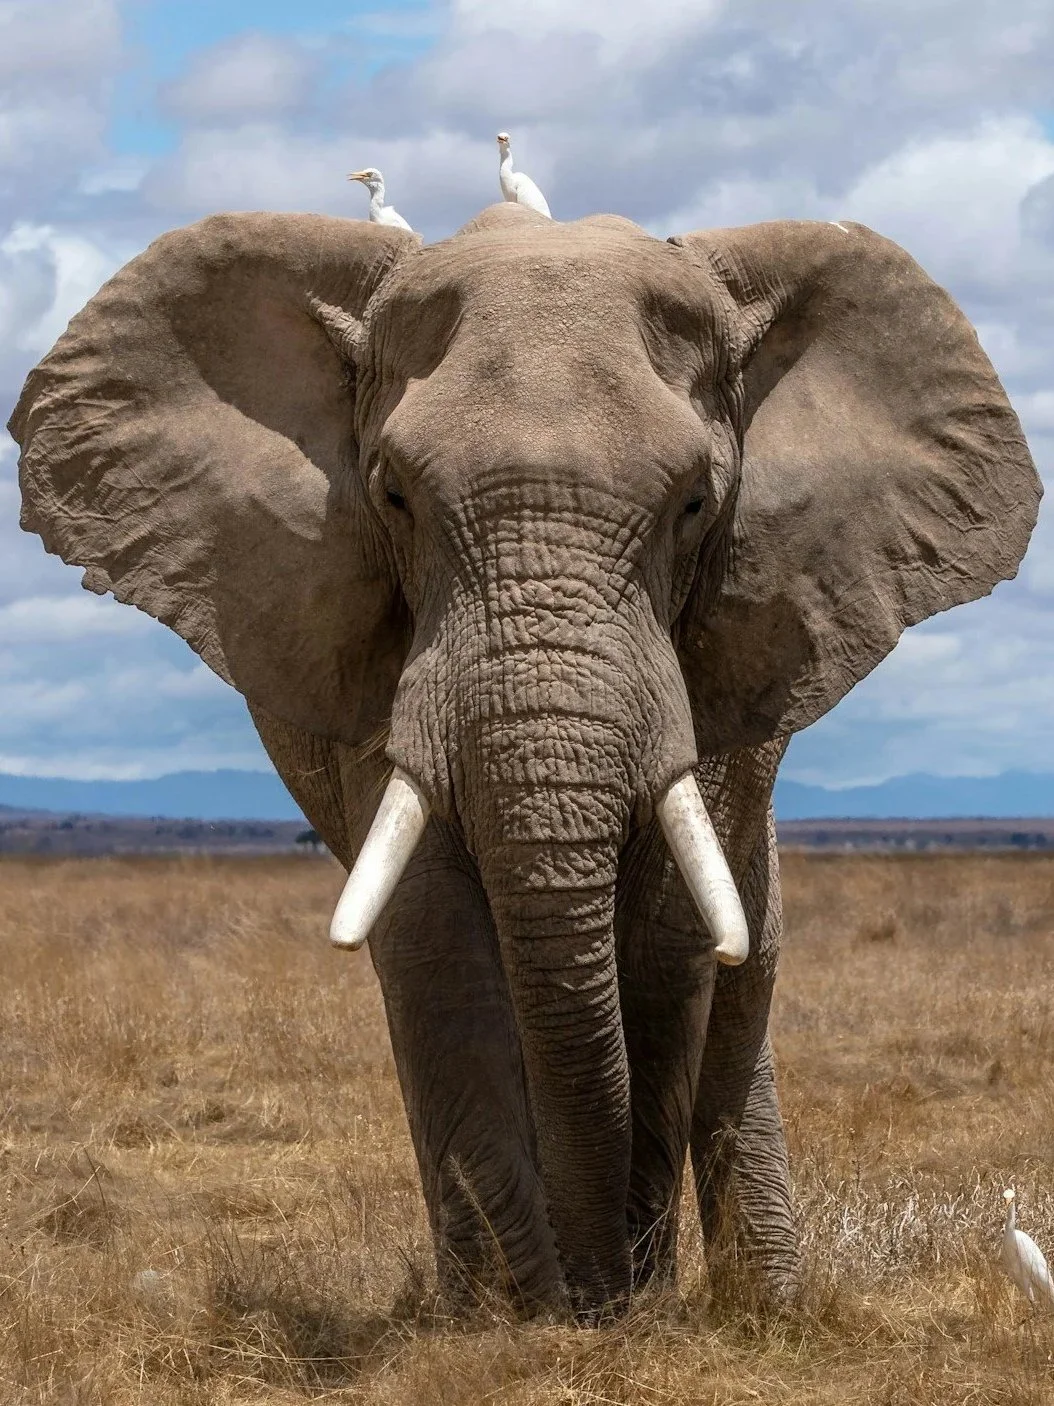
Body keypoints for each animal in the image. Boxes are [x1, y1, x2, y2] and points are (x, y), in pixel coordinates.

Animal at [7, 202, 1041, 1321]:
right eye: (394, 497)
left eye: (694, 503)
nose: (598, 1293)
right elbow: (433, 935)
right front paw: (513, 1320)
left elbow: (668, 941)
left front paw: (623, 1307)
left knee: (742, 971)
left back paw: (763, 1304)